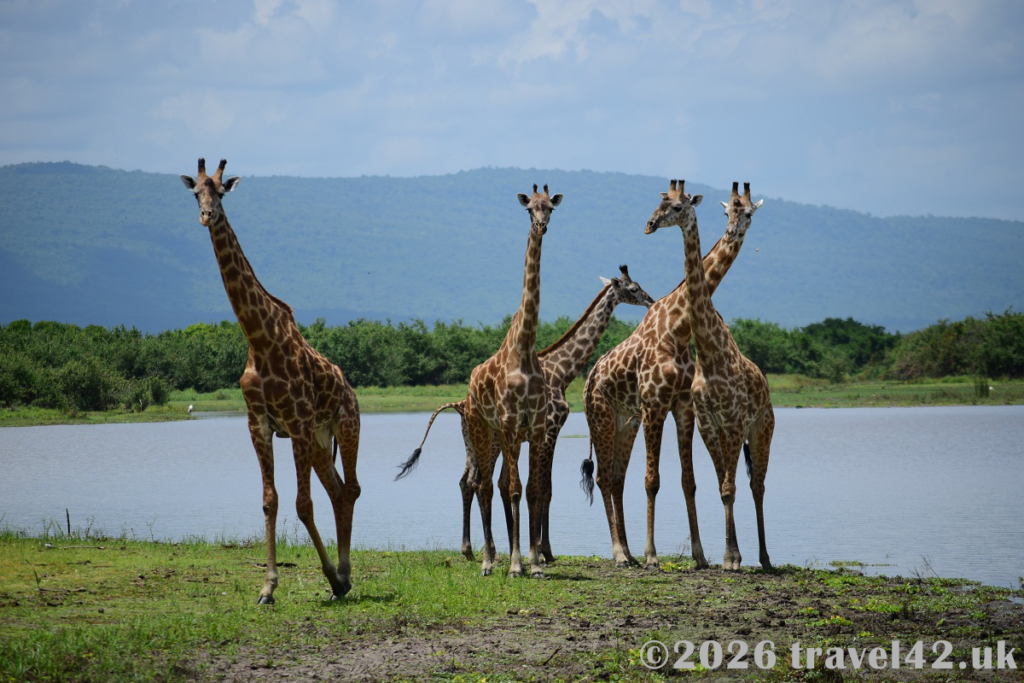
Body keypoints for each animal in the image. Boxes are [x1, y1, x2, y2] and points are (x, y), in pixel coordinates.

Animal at [180, 158, 360, 603]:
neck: (258, 340)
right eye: (195, 193)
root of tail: (350, 388)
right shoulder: (259, 423)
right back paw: (342, 576)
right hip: (318, 439)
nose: (206, 215)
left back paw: (344, 575)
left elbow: (302, 505)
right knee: (336, 489)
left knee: (350, 488)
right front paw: (267, 588)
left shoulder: (295, 421)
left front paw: (330, 578)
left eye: (221, 192)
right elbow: (270, 501)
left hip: (345, 426)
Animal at [403, 266, 655, 563]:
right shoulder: (550, 429)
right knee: (480, 482)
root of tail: (460, 405)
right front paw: (544, 550)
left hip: (473, 442)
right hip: (491, 442)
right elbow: (544, 488)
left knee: (469, 481)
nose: (651, 300)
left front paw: (534, 550)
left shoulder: (541, 434)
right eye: (634, 288)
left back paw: (472, 549)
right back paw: (492, 551)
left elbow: (534, 487)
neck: (562, 371)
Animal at [580, 179, 757, 570]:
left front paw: (701, 556)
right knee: (602, 477)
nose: (648, 225)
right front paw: (652, 556)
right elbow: (652, 480)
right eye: (662, 202)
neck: (679, 327)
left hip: (624, 421)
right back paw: (621, 553)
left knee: (616, 478)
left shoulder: (682, 406)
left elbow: (687, 481)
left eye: (677, 206)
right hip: (600, 416)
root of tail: (589, 379)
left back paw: (627, 551)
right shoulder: (654, 404)